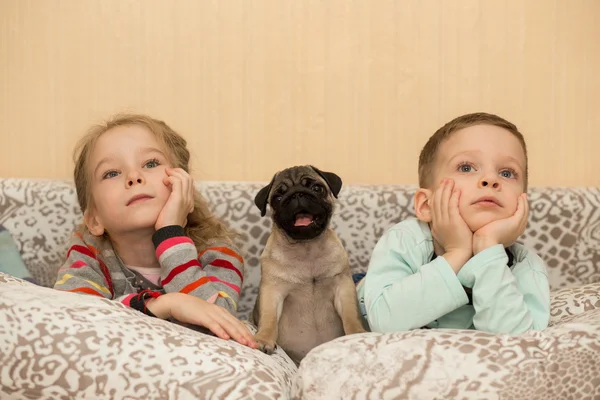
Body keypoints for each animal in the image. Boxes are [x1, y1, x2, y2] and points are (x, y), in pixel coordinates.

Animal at [250, 164, 364, 364]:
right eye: (277, 197)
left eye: (317, 188)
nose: (297, 194)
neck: (306, 249)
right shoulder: (272, 292)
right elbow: (268, 318)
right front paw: (263, 338)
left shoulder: (343, 287)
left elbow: (351, 314)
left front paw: (357, 333)